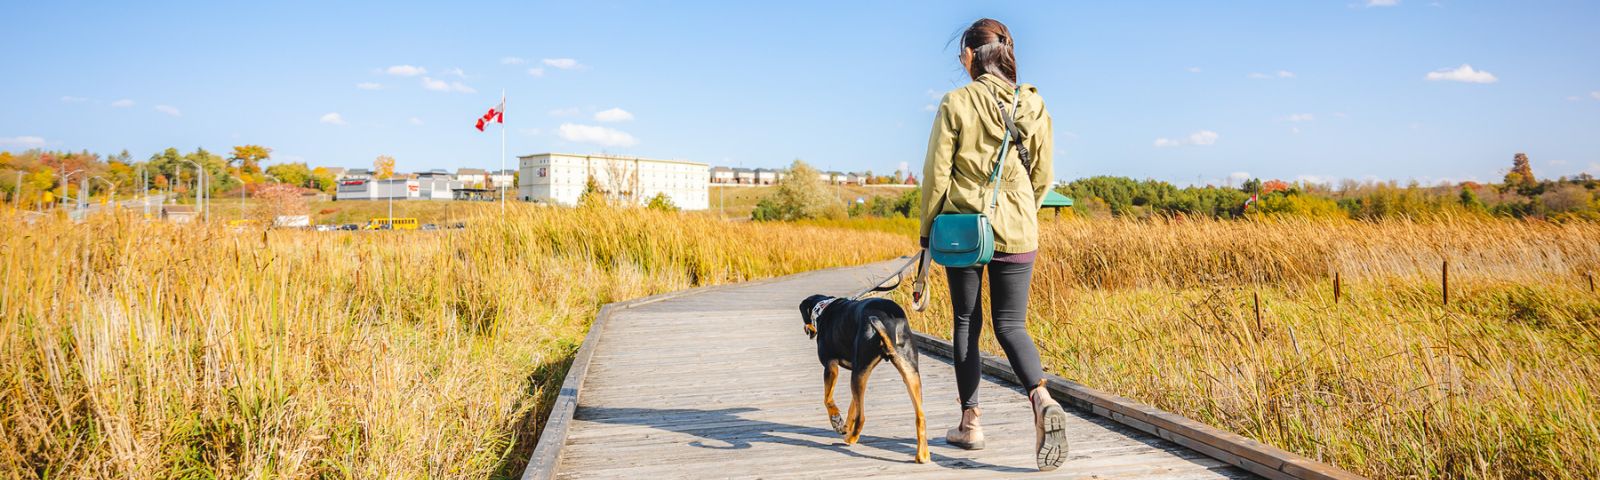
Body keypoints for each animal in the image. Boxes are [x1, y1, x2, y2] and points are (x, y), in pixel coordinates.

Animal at [796, 294, 934, 464]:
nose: (807, 330)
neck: (823, 307)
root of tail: (889, 321)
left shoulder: (831, 366)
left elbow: (828, 399)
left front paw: (836, 420)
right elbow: (853, 406)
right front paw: (845, 426)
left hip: (858, 370)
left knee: (861, 418)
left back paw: (850, 439)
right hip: (909, 372)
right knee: (920, 416)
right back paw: (922, 455)